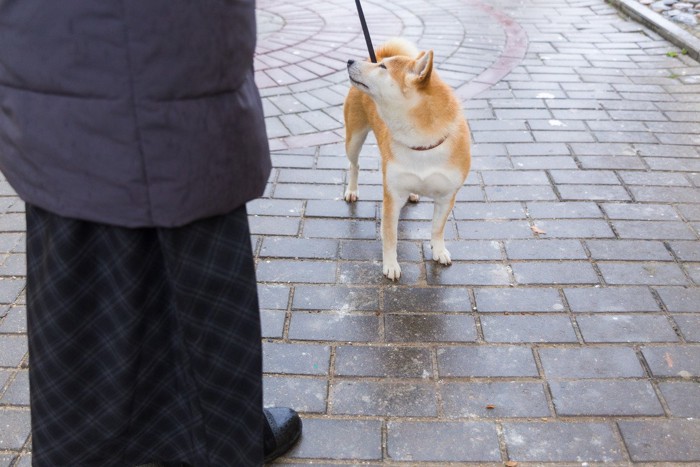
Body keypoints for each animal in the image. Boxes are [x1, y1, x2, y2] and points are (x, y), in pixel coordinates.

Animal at [344, 39, 470, 282]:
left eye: (383, 67)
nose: (350, 60)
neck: (421, 145)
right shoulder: (392, 197)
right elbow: (390, 237)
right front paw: (391, 265)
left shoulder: (447, 197)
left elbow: (437, 228)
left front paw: (438, 250)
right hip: (353, 139)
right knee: (354, 165)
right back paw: (352, 190)